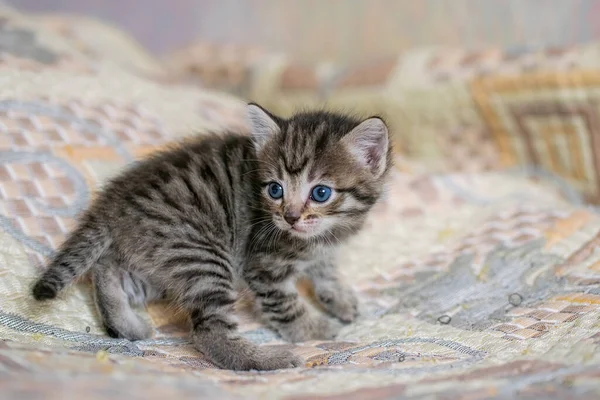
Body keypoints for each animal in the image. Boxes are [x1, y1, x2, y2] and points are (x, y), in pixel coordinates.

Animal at [30, 104, 392, 372]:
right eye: (275, 189)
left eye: (320, 193)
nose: (289, 217)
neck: (321, 234)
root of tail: (114, 201)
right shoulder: (262, 265)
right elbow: (286, 304)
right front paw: (311, 330)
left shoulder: (321, 248)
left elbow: (325, 269)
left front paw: (340, 298)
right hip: (203, 254)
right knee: (208, 331)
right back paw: (267, 359)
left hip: (161, 264)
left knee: (107, 268)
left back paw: (126, 324)